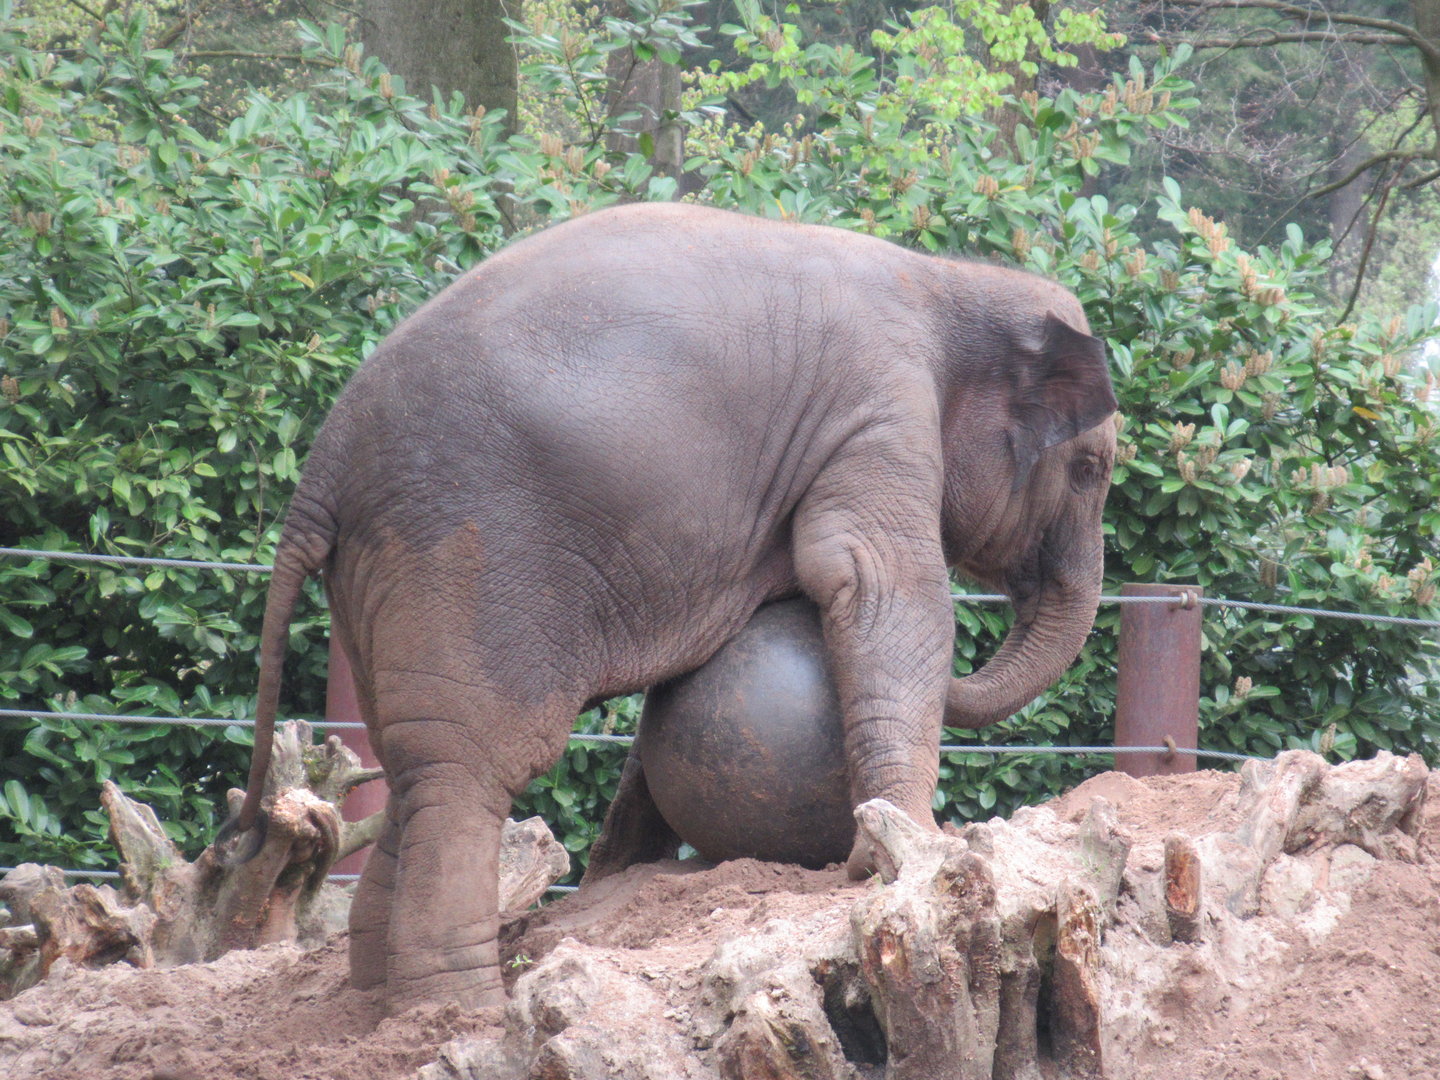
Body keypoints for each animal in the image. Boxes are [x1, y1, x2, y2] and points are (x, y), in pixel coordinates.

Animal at [222, 202, 1117, 1017]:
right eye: (1089, 471)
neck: (949, 279)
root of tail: (323, 464)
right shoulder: (881, 409)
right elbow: (882, 586)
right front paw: (902, 854)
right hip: (455, 554)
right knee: (464, 770)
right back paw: (456, 1010)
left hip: (379, 577)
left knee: (410, 766)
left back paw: (380, 1001)